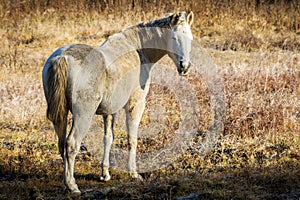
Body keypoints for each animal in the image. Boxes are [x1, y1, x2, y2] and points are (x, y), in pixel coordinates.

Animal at [42, 10, 195, 194]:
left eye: (190, 38)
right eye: (173, 37)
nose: (185, 66)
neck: (137, 49)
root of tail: (63, 57)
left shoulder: (109, 110)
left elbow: (108, 138)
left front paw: (105, 174)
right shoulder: (135, 104)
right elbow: (132, 138)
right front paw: (133, 173)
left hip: (61, 115)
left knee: (61, 144)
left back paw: (67, 182)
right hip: (83, 115)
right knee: (71, 144)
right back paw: (72, 186)